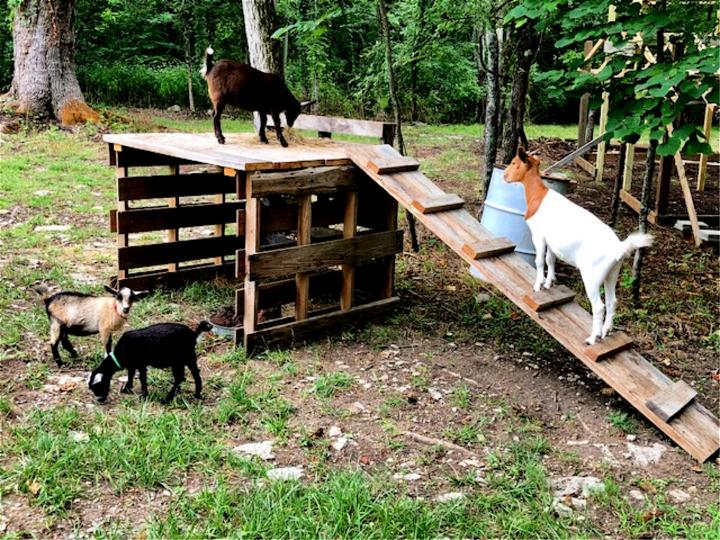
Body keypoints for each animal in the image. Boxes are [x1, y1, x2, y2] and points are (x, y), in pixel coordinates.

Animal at [504, 147, 656, 342]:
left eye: (514, 163)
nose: (505, 176)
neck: (538, 195)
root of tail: (618, 248)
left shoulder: (538, 235)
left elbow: (539, 260)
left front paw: (538, 285)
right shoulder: (552, 241)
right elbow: (550, 260)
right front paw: (549, 283)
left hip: (592, 275)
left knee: (599, 306)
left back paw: (593, 338)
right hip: (612, 273)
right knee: (612, 301)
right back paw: (606, 331)